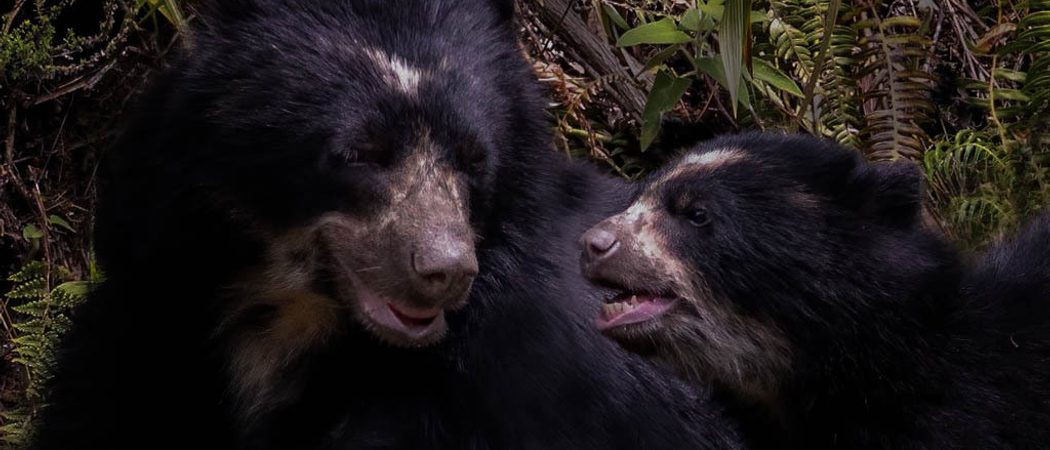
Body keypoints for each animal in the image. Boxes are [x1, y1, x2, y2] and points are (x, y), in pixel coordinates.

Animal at [29, 1, 743, 449]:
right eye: (360, 153)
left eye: (473, 159)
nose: (445, 270)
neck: (290, 321)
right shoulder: (154, 315)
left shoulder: (531, 373)